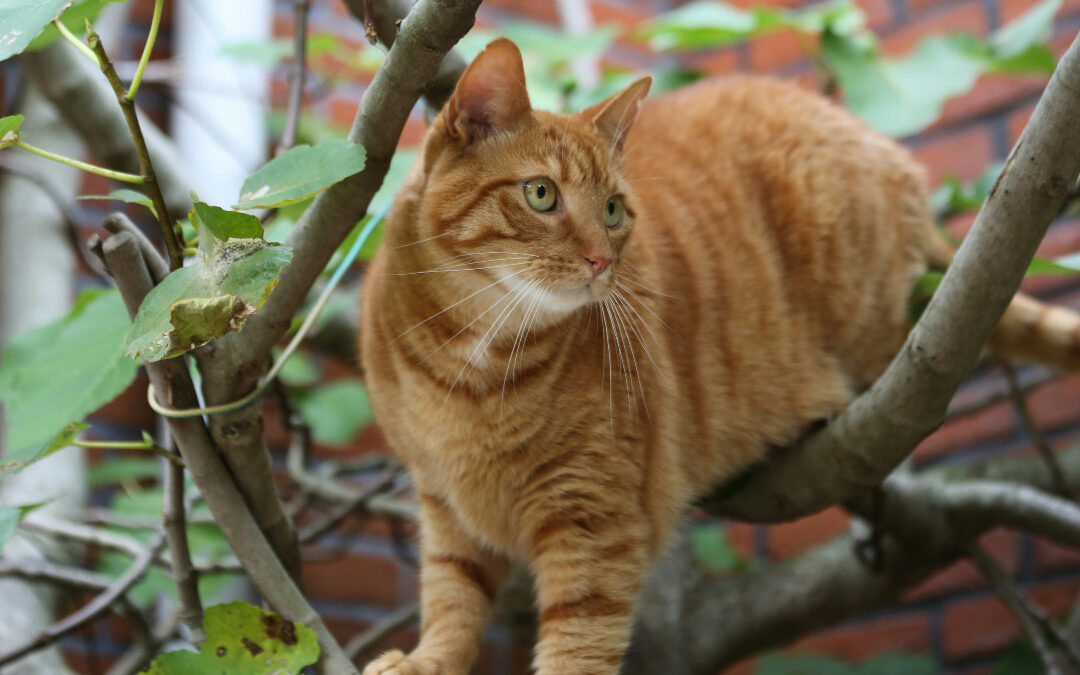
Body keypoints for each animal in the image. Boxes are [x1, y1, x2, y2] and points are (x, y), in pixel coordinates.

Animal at [358, 38, 1075, 673]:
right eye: (541, 195)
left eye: (613, 210)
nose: (600, 261)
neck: (471, 361)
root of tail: (877, 143)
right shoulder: (444, 505)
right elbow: (451, 598)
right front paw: (427, 661)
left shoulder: (592, 521)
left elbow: (576, 642)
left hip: (879, 322)